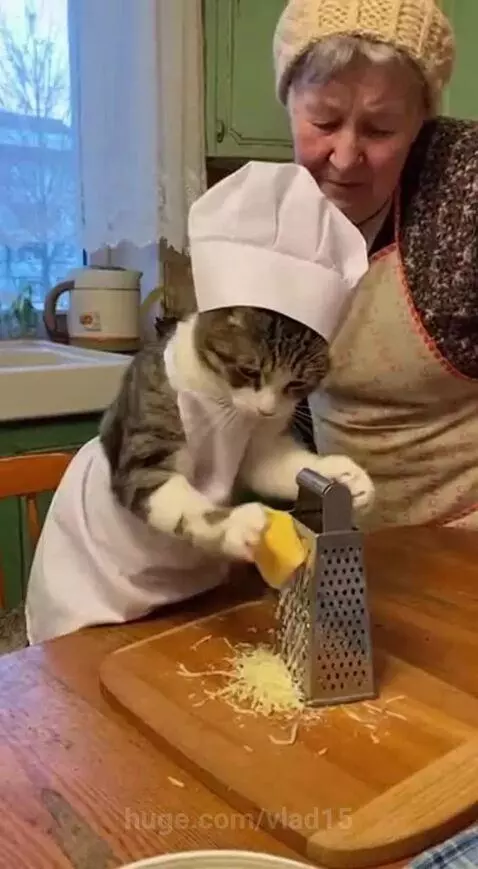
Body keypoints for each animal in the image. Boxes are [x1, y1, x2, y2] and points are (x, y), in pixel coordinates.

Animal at [99, 306, 374, 563]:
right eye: (249, 371)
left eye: (296, 383)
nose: (267, 411)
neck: (219, 398)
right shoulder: (142, 455)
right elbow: (176, 497)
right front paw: (234, 524)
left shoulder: (257, 448)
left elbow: (272, 466)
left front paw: (342, 475)